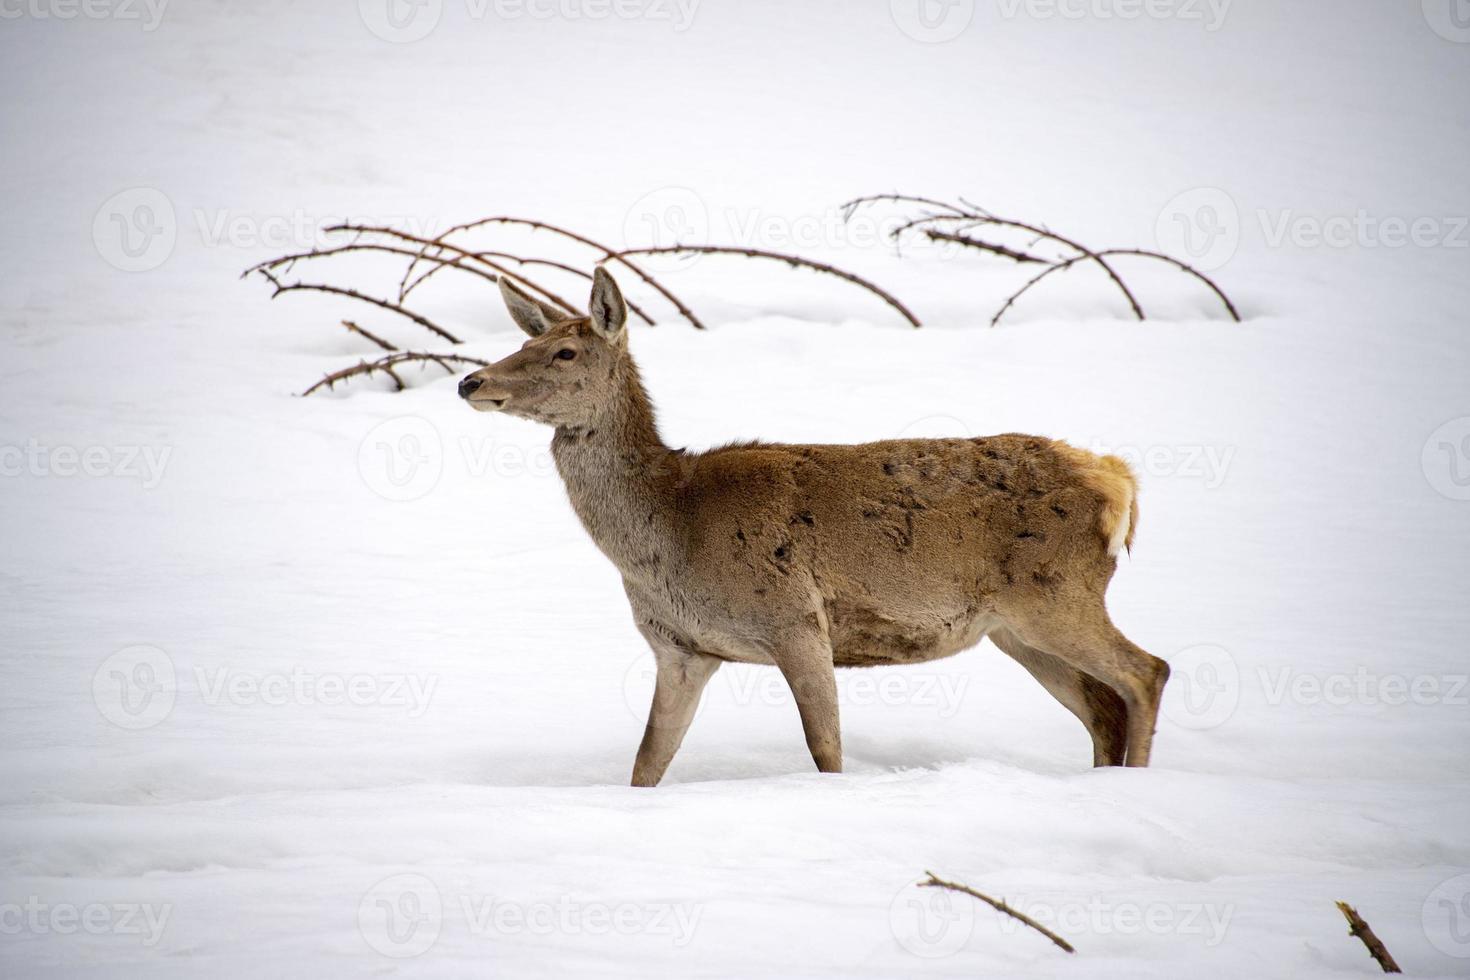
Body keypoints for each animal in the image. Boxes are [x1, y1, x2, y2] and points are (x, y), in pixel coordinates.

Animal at [458, 268, 1170, 787]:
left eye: (563, 351)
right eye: (522, 342)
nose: (470, 380)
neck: (668, 531)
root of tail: (1117, 481)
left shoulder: (796, 620)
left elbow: (825, 749)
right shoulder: (682, 649)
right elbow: (647, 761)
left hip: (1056, 593)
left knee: (1146, 672)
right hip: (1013, 627)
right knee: (1104, 707)